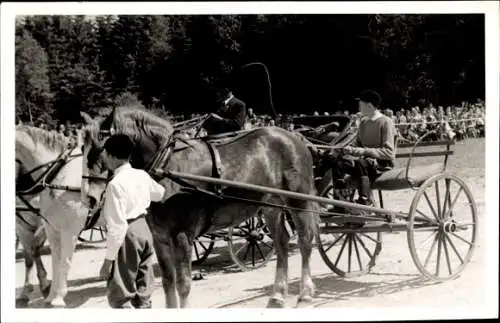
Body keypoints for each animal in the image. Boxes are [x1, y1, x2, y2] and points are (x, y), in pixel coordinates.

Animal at [15, 126, 88, 308]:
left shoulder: (69, 230)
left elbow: (65, 261)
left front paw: (57, 296)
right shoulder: (49, 227)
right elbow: (51, 260)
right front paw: (49, 294)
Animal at [80, 107, 318, 308]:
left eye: (101, 149)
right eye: (82, 148)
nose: (89, 197)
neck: (167, 167)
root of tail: (294, 137)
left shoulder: (182, 236)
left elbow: (183, 284)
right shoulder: (160, 238)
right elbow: (168, 282)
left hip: (299, 201)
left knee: (305, 240)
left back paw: (305, 294)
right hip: (270, 206)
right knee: (282, 242)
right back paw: (277, 295)